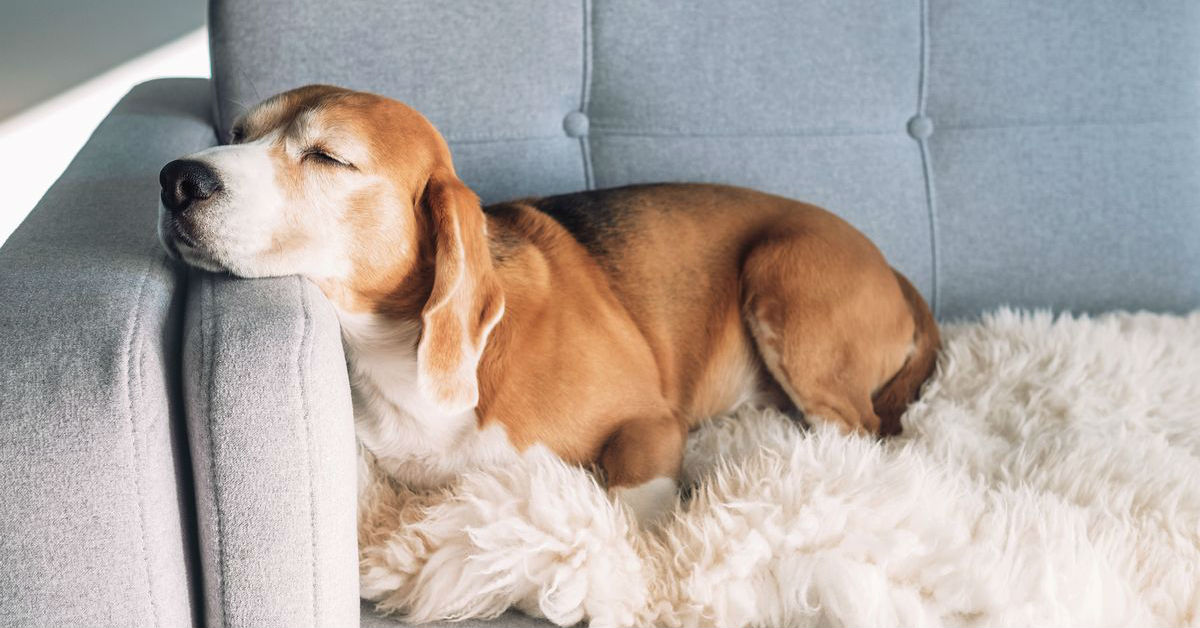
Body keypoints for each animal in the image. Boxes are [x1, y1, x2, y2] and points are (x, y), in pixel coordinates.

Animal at [154, 84, 936, 525]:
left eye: (327, 157)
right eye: (237, 134)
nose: (175, 179)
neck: (394, 349)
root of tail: (894, 271)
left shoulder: (650, 424)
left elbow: (631, 506)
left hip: (782, 276)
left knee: (859, 431)